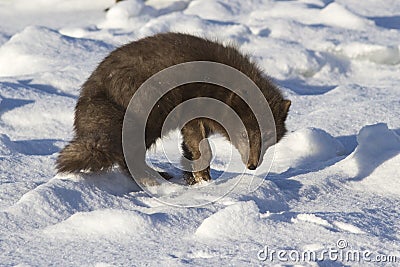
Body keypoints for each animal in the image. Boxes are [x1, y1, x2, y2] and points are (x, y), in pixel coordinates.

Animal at [56, 32, 290, 185]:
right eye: (243, 133)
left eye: (268, 135)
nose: (252, 165)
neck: (220, 87)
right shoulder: (192, 112)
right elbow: (204, 149)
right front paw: (204, 181)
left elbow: (191, 149)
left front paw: (196, 179)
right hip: (150, 114)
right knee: (126, 156)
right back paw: (153, 178)